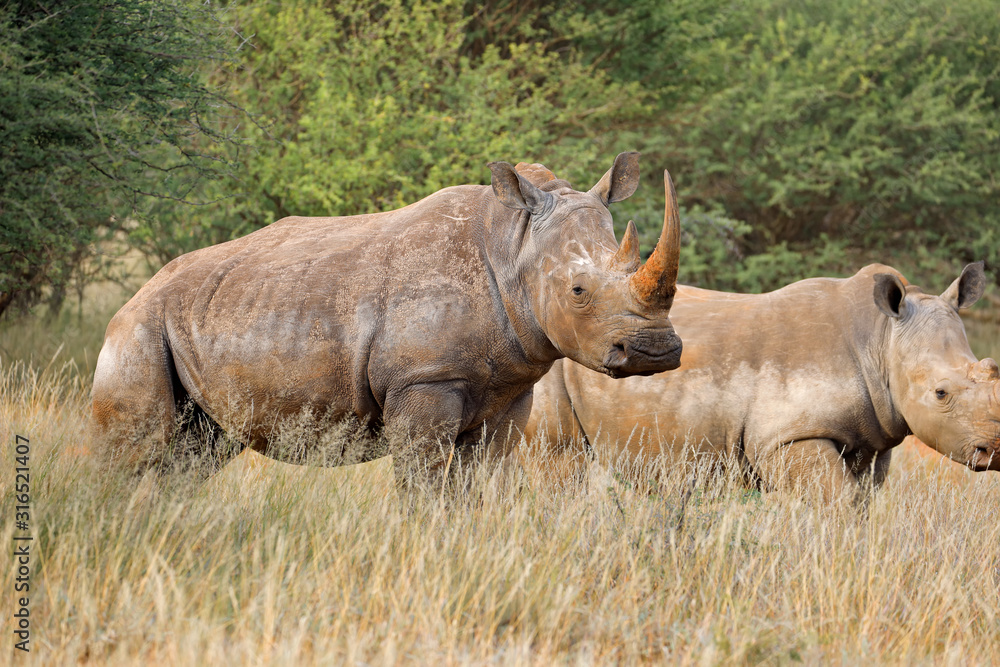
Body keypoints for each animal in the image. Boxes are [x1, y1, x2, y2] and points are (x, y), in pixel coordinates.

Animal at [91, 153, 684, 485]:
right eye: (578, 291)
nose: (655, 351)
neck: (512, 246)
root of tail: (139, 293)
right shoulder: (424, 380)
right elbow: (422, 485)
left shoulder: (509, 390)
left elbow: (481, 486)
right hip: (138, 326)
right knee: (134, 450)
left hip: (212, 313)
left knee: (194, 455)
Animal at [526, 263, 1000, 501]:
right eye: (940, 393)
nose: (993, 451)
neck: (881, 341)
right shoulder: (787, 437)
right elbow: (838, 500)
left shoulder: (872, 438)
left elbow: (861, 501)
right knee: (555, 458)